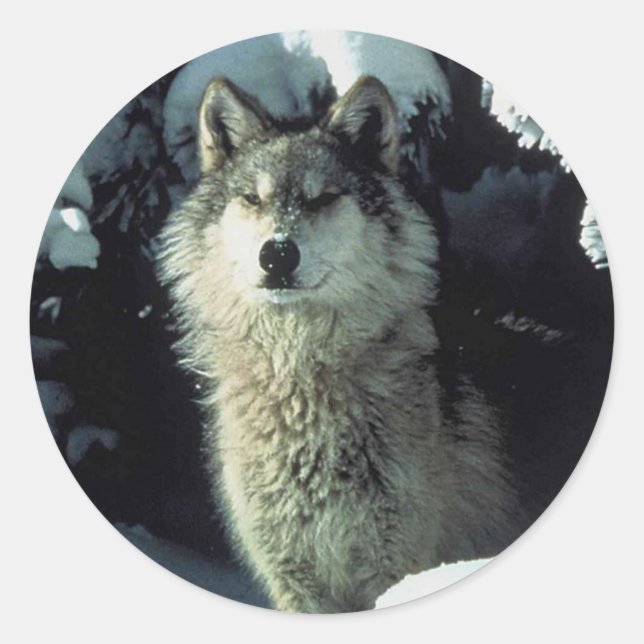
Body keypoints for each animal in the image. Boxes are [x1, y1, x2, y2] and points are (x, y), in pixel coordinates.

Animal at [157, 75, 525, 613]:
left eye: (322, 198)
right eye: (252, 199)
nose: (278, 253)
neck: (301, 382)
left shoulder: (395, 566)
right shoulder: (294, 580)